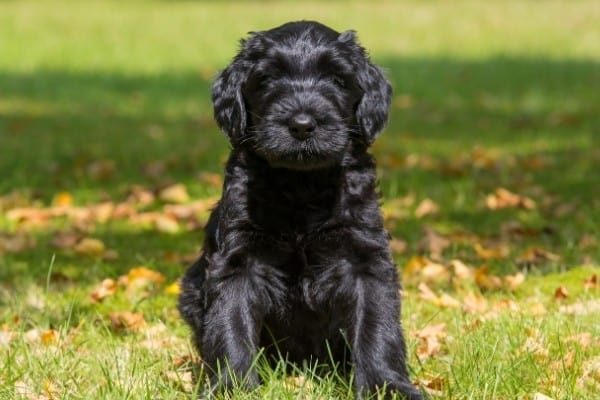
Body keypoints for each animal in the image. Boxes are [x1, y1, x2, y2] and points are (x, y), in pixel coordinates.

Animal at [178, 21, 422, 400]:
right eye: (267, 78)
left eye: (337, 79)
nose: (303, 124)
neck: (301, 186)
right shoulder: (238, 260)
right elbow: (229, 324)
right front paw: (231, 388)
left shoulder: (364, 257)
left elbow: (377, 326)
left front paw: (386, 387)